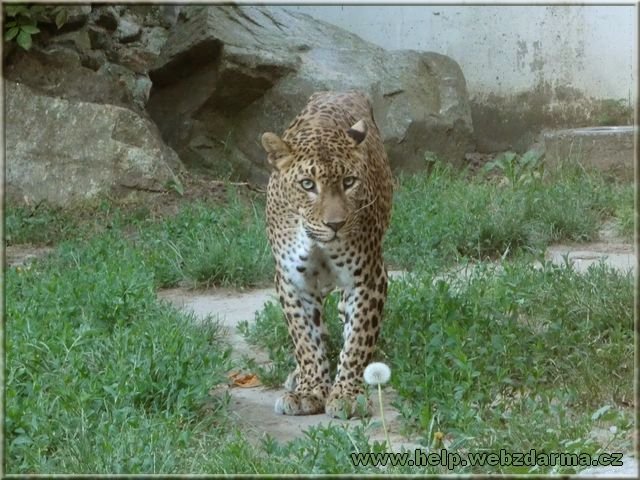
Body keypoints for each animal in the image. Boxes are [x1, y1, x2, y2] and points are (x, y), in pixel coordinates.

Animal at [260, 91, 393, 418]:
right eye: (308, 185)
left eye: (349, 182)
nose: (336, 224)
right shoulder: (292, 281)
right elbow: (305, 339)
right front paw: (309, 390)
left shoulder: (368, 277)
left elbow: (358, 338)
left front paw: (346, 394)